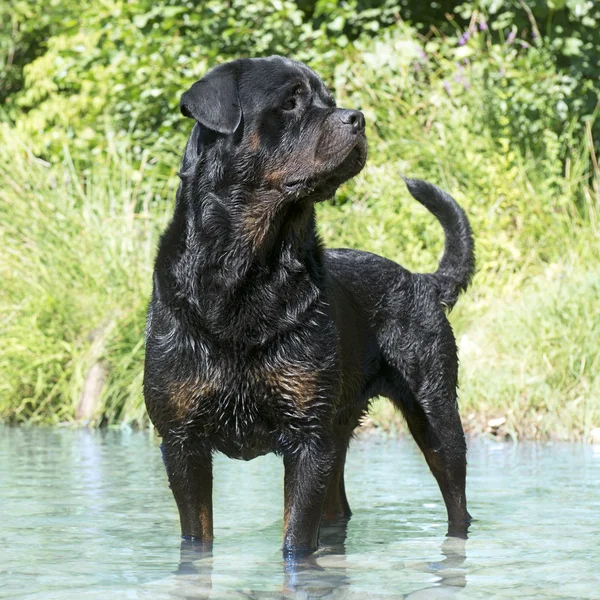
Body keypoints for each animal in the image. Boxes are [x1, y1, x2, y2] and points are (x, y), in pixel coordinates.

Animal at [144, 56, 474, 556]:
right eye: (291, 102)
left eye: (329, 100)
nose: (357, 118)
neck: (247, 268)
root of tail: (422, 281)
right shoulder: (182, 442)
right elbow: (197, 537)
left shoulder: (307, 439)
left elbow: (296, 540)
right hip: (339, 429)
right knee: (338, 508)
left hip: (434, 412)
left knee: (456, 499)